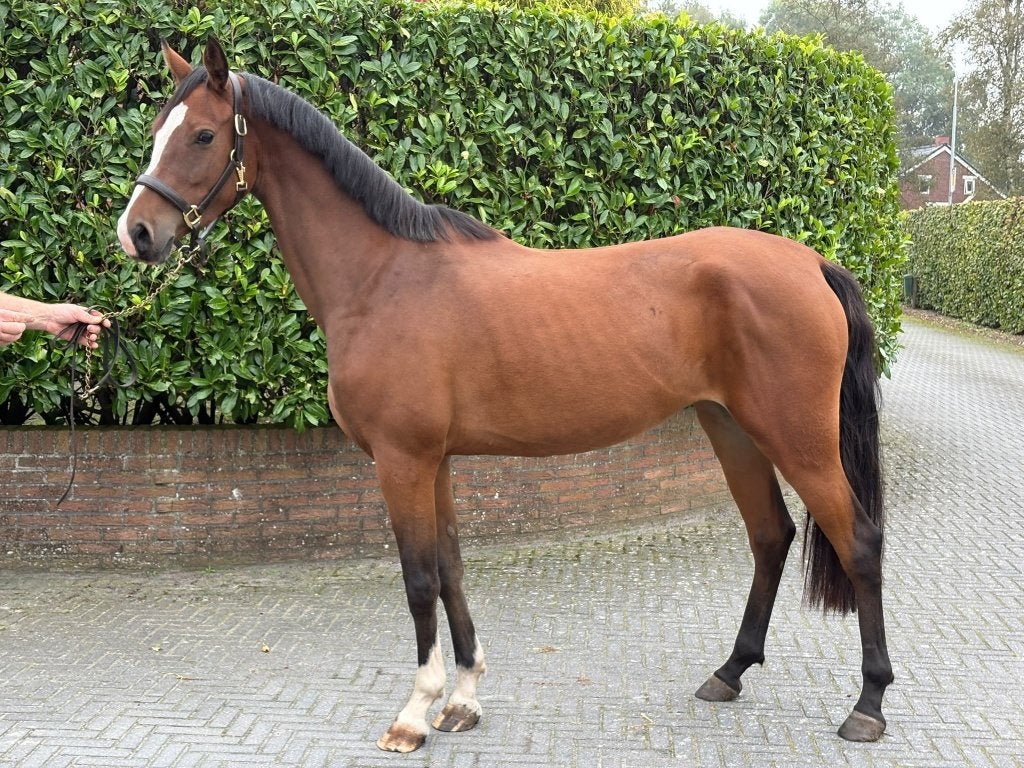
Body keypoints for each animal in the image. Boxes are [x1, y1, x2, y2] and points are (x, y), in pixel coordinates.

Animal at [116, 37, 893, 752]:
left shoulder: (402, 460)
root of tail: (814, 263)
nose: (138, 233)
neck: (382, 277)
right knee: (770, 535)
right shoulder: (437, 462)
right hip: (730, 428)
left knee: (857, 540)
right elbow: (453, 571)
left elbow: (419, 579)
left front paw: (413, 714)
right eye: (157, 125)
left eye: (203, 134)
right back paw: (728, 673)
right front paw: (462, 700)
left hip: (798, 439)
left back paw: (869, 704)